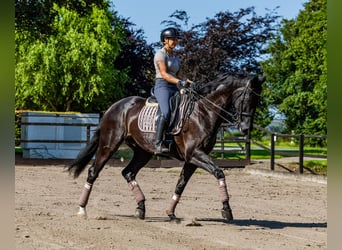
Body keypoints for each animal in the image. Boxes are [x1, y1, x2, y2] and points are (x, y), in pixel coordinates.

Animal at [67, 73, 264, 221]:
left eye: (257, 101)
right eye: (247, 98)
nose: (245, 129)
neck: (203, 111)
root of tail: (114, 107)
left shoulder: (192, 159)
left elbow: (181, 185)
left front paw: (171, 213)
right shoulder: (195, 154)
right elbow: (219, 172)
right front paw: (226, 210)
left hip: (143, 152)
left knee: (128, 173)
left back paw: (141, 208)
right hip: (109, 145)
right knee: (93, 171)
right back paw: (82, 209)